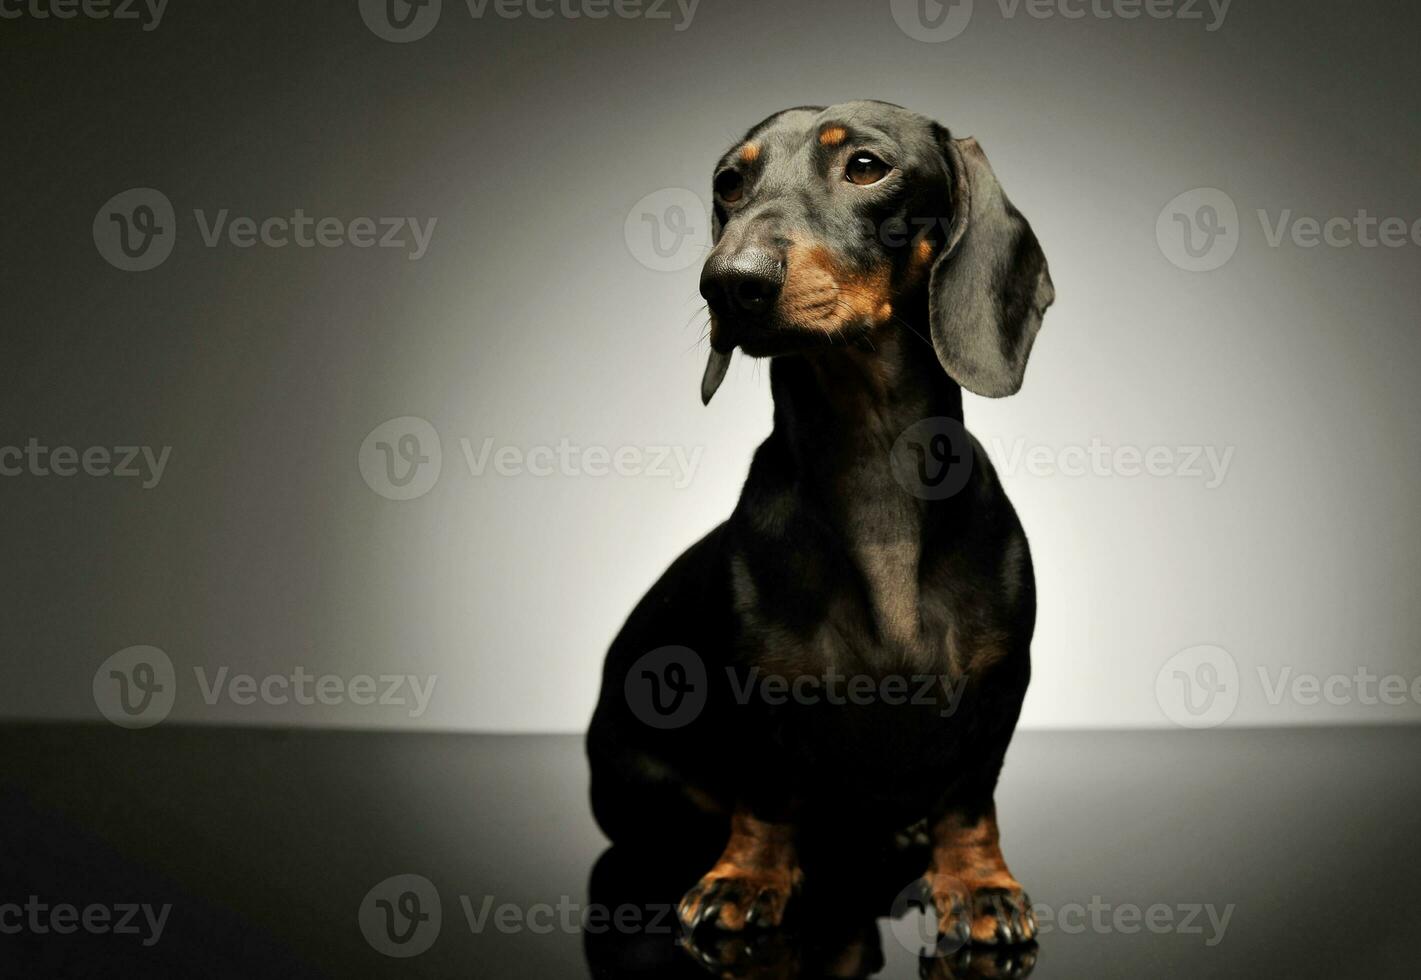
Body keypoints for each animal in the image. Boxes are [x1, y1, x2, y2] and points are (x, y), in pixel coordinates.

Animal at [588, 102, 1057, 948]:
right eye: (728, 182)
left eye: (865, 166)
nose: (728, 283)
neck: (872, 469)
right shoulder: (759, 691)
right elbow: (767, 795)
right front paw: (747, 876)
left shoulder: (1000, 685)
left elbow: (969, 801)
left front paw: (978, 886)